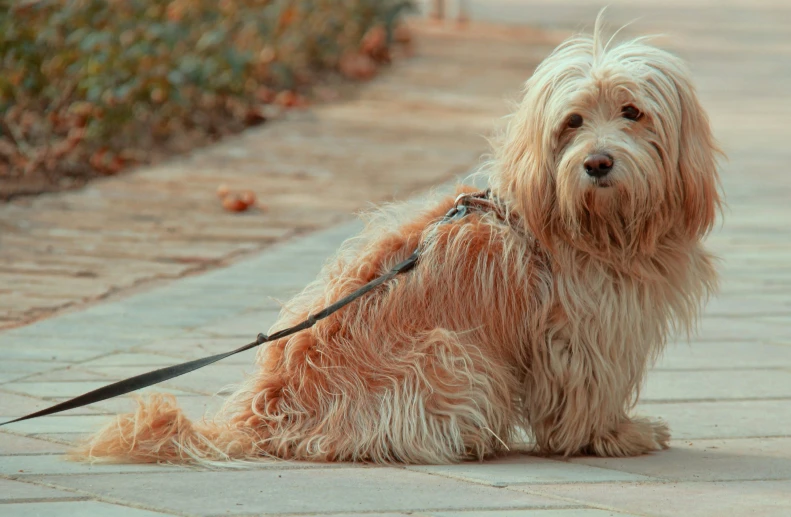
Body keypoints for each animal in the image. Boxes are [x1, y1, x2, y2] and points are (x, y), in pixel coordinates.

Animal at [74, 19, 724, 464]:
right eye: (572, 122)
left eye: (632, 112)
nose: (597, 163)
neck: (583, 222)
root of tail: (265, 418)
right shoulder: (582, 334)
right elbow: (588, 393)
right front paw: (613, 437)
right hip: (453, 357)